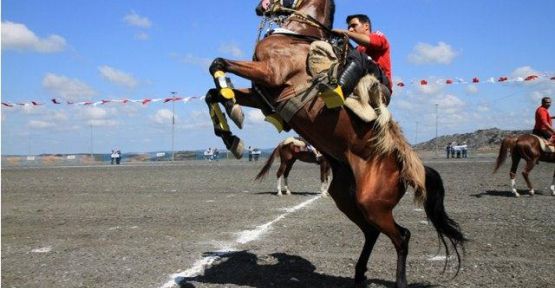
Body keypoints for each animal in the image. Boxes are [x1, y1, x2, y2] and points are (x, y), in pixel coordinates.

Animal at [203, 1, 464, 286]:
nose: (260, 7)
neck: (297, 36)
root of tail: (404, 165)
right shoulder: (261, 95)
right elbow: (211, 93)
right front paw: (232, 134)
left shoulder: (271, 74)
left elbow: (218, 63)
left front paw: (231, 105)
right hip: (347, 199)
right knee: (371, 232)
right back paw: (359, 274)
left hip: (373, 203)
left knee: (402, 236)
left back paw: (398, 281)